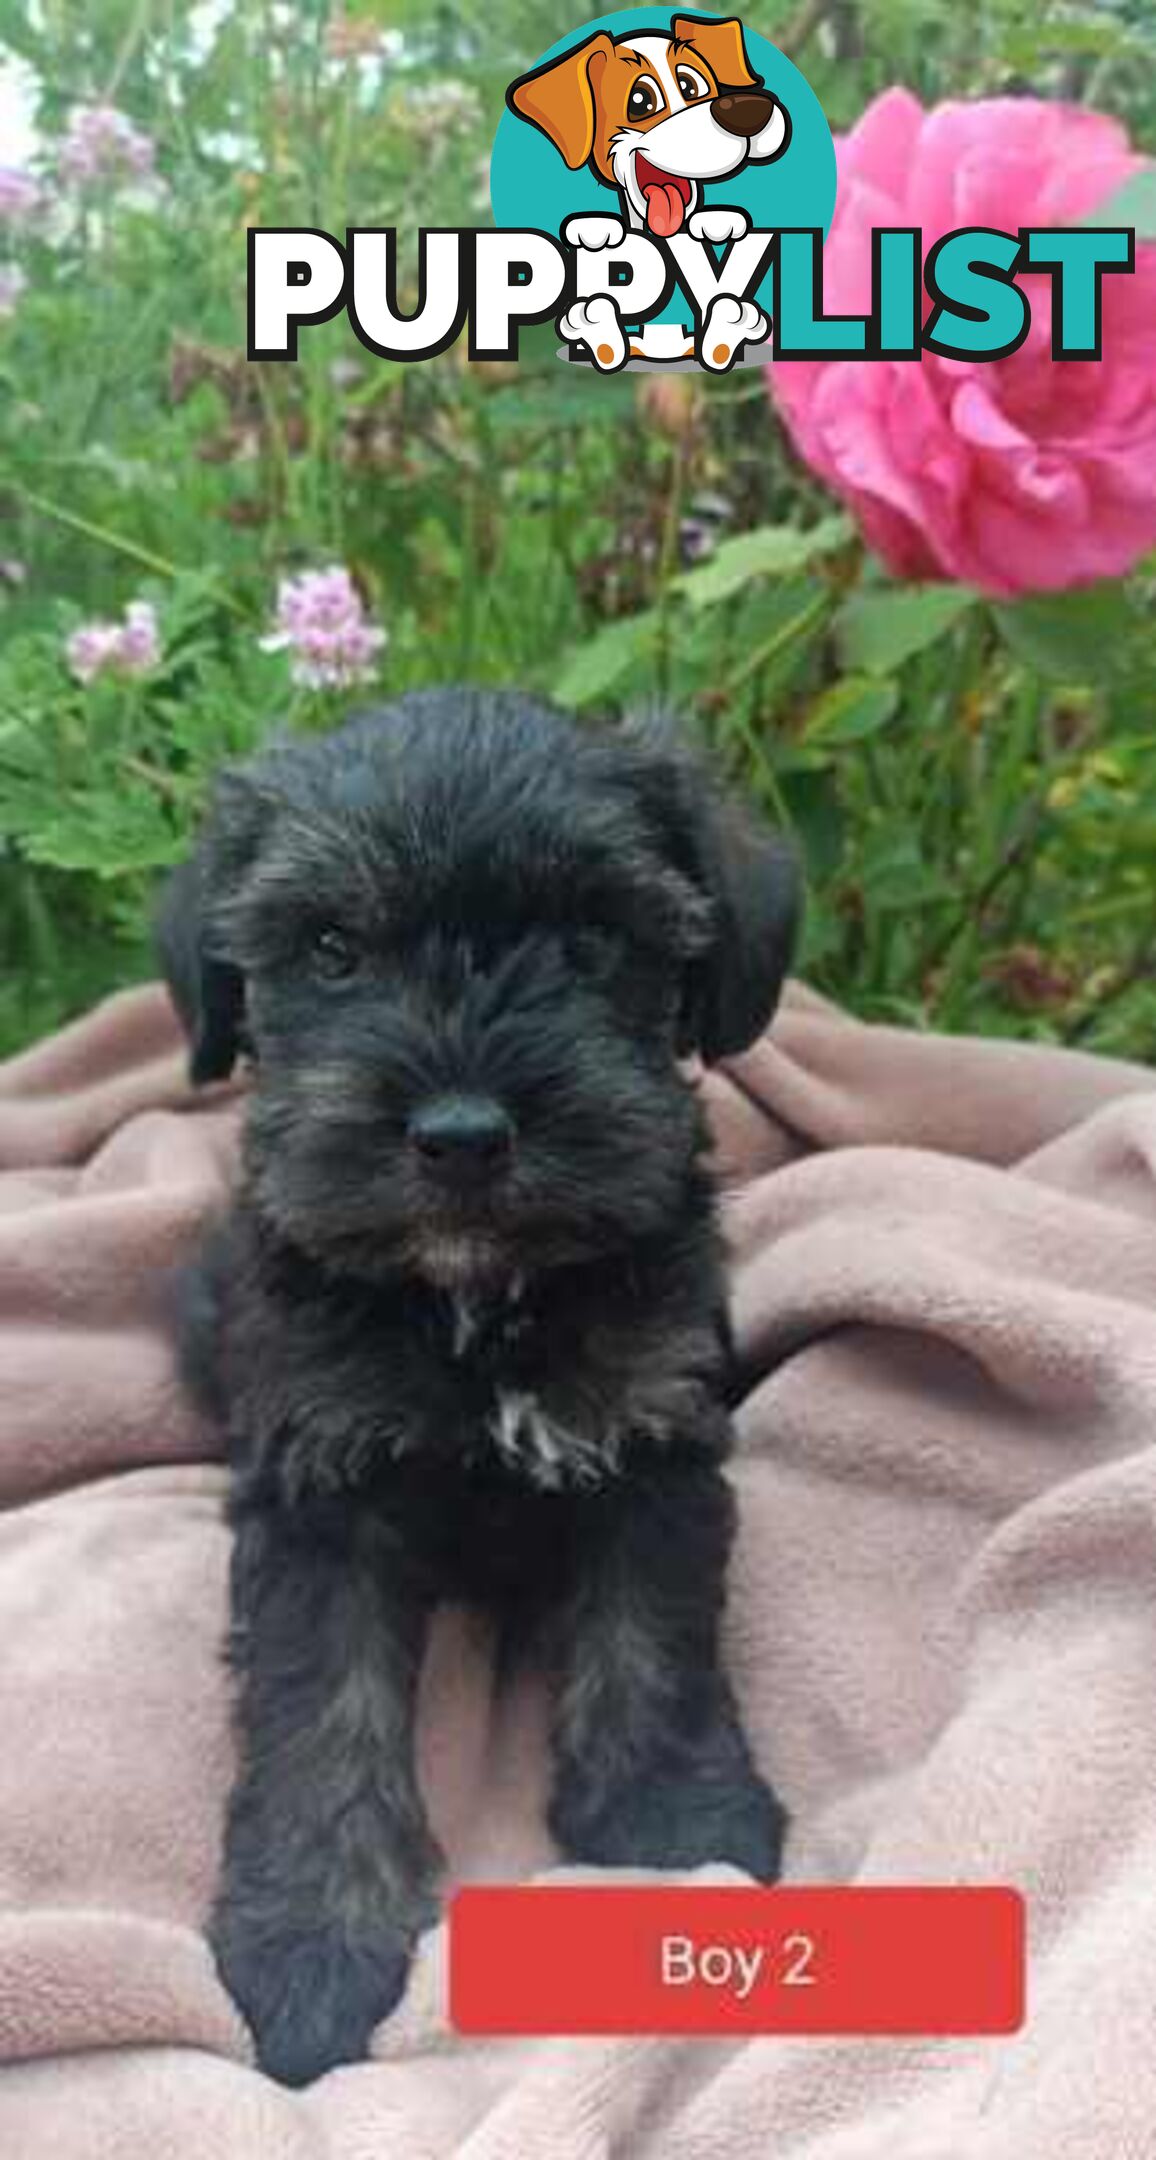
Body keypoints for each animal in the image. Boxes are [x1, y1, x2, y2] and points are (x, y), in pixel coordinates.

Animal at [158, 686, 799, 2073]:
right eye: (331, 947)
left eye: (592, 941)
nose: (460, 1135)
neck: (478, 1305)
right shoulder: (318, 1494)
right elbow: (320, 1709)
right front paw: (310, 1939)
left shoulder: (650, 1441)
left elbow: (650, 1638)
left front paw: (674, 1816)